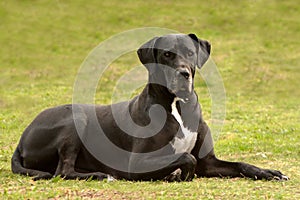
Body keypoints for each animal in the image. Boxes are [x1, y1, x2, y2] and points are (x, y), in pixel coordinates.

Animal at [11, 34, 288, 181]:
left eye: (190, 53)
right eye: (166, 54)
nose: (183, 73)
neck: (177, 105)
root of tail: (21, 140)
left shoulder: (208, 162)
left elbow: (241, 164)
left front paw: (269, 172)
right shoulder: (136, 163)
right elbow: (185, 157)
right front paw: (176, 175)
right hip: (75, 117)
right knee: (63, 170)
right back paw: (102, 175)